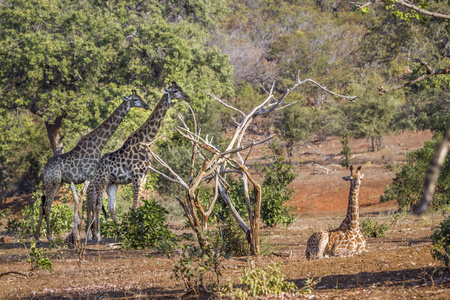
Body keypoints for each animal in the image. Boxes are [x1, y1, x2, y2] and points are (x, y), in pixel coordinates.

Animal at [34, 91, 149, 241]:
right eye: (135, 99)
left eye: (140, 97)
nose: (146, 106)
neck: (98, 144)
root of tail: (43, 170)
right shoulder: (91, 176)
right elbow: (91, 205)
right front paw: (92, 236)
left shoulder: (93, 178)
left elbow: (92, 205)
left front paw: (92, 234)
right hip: (52, 183)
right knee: (47, 206)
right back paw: (48, 237)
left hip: (56, 183)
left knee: (42, 205)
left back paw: (37, 236)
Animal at [86, 82, 190, 244]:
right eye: (175, 91)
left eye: (181, 89)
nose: (188, 97)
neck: (145, 142)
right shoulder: (135, 176)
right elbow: (134, 206)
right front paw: (135, 231)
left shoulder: (144, 177)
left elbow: (140, 205)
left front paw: (140, 230)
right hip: (101, 182)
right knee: (96, 206)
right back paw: (96, 236)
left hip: (111, 184)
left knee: (110, 208)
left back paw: (118, 234)